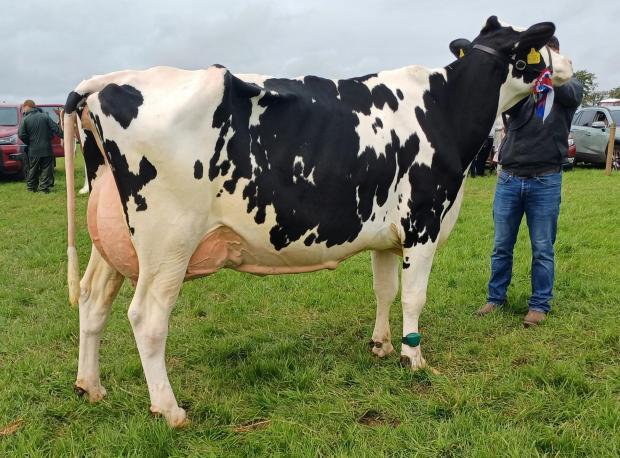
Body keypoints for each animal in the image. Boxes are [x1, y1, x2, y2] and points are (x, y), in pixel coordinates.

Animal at [63, 16, 572, 428]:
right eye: (546, 45)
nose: (567, 65)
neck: (445, 109)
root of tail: (107, 81)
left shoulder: (387, 237)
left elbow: (385, 291)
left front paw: (381, 346)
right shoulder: (423, 224)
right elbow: (414, 296)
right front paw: (414, 358)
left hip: (114, 238)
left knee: (92, 299)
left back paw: (91, 387)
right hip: (168, 240)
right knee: (147, 316)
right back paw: (170, 410)